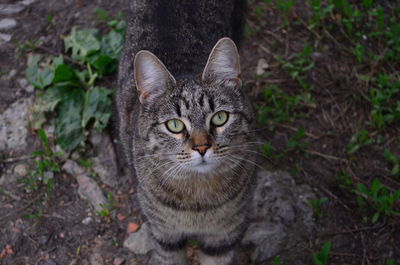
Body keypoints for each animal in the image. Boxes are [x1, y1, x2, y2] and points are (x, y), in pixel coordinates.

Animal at [117, 1, 258, 262]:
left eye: (220, 117)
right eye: (175, 125)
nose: (202, 147)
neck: (197, 200)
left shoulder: (226, 235)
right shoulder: (164, 235)